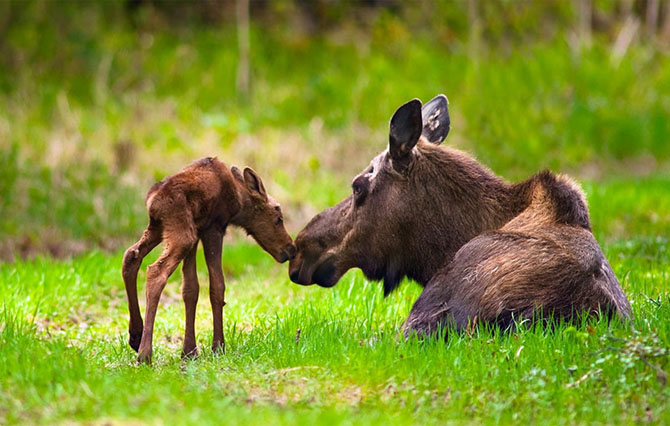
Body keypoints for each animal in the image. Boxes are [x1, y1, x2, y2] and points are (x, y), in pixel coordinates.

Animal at [123, 158, 296, 364]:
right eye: (278, 218)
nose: (291, 249)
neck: (239, 202)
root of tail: (153, 202)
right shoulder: (214, 228)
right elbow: (217, 286)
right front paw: (218, 346)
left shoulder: (198, 231)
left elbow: (190, 289)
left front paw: (189, 351)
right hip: (182, 235)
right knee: (156, 271)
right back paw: (145, 354)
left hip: (161, 229)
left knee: (131, 255)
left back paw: (135, 335)